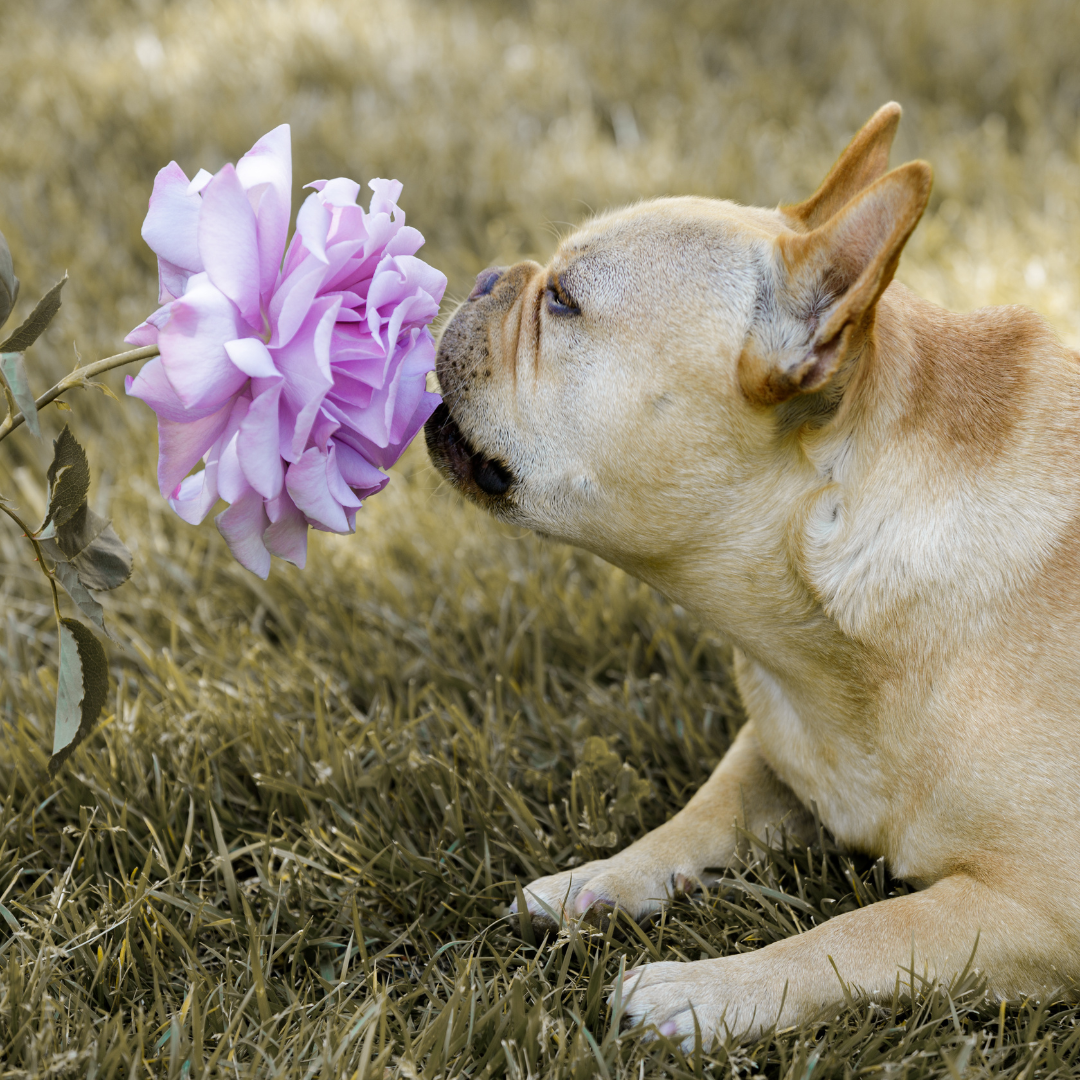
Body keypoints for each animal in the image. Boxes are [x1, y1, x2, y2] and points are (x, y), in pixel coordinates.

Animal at [421, 103, 1080, 1045]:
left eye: (564, 301)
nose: (483, 277)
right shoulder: (773, 745)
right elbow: (704, 811)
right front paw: (599, 880)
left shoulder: (1040, 912)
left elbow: (867, 931)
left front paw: (703, 990)